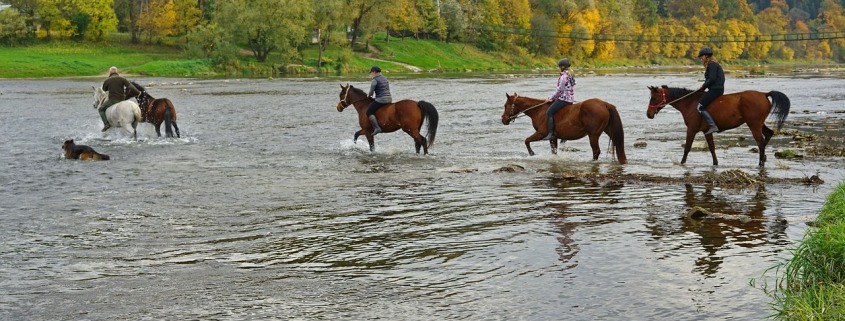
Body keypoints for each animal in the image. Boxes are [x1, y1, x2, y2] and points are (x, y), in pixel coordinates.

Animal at [648, 85, 792, 165]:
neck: (689, 103)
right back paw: (764, 158)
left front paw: (682, 163)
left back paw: (761, 162)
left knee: (761, 143)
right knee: (768, 134)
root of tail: (764, 94)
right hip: (758, 124)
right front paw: (715, 163)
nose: (648, 114)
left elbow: (687, 148)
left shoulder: (692, 129)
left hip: (754, 125)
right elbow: (712, 148)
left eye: (654, 98)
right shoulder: (707, 131)